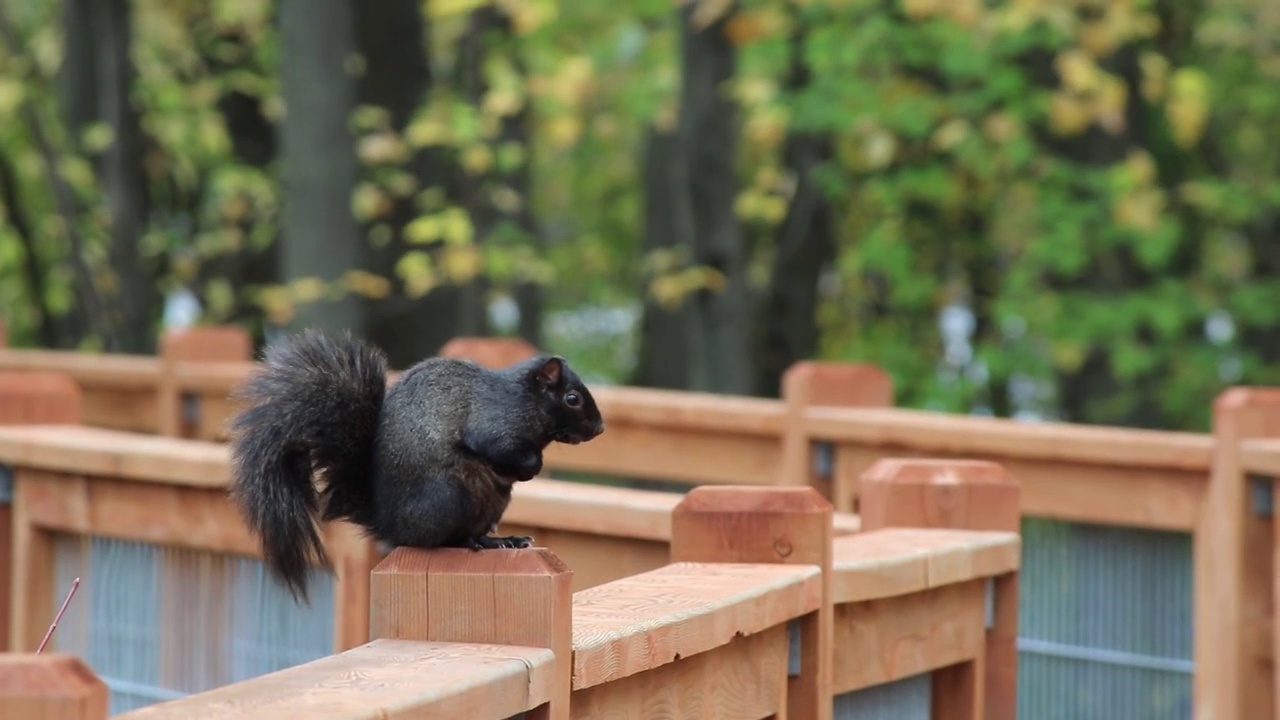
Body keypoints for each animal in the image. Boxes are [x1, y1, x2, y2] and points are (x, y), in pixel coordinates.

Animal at [225, 327, 604, 597]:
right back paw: (479, 542)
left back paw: (504, 540)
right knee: (444, 540)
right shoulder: (497, 422)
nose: (599, 428)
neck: (525, 398)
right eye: (572, 398)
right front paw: (529, 467)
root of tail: (390, 525)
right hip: (450, 494)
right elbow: (500, 448)